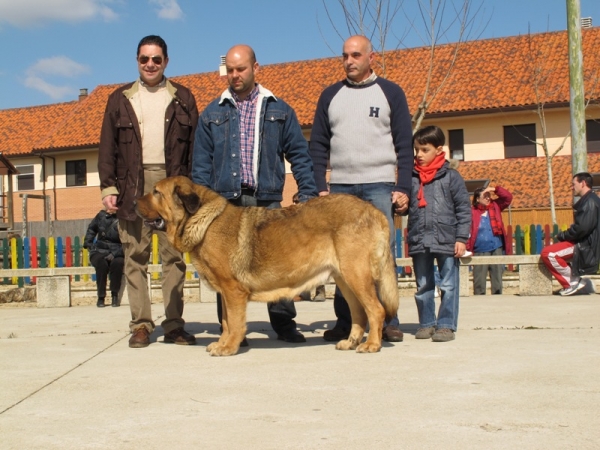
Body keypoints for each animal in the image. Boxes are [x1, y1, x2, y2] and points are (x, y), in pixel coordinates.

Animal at [136, 176, 398, 356]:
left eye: (156, 192)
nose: (133, 200)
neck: (203, 221)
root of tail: (373, 211)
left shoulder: (233, 291)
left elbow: (234, 323)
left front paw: (228, 348)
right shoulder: (226, 293)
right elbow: (226, 323)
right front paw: (222, 343)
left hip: (356, 275)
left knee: (376, 310)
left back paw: (372, 345)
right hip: (345, 279)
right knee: (359, 313)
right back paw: (350, 342)